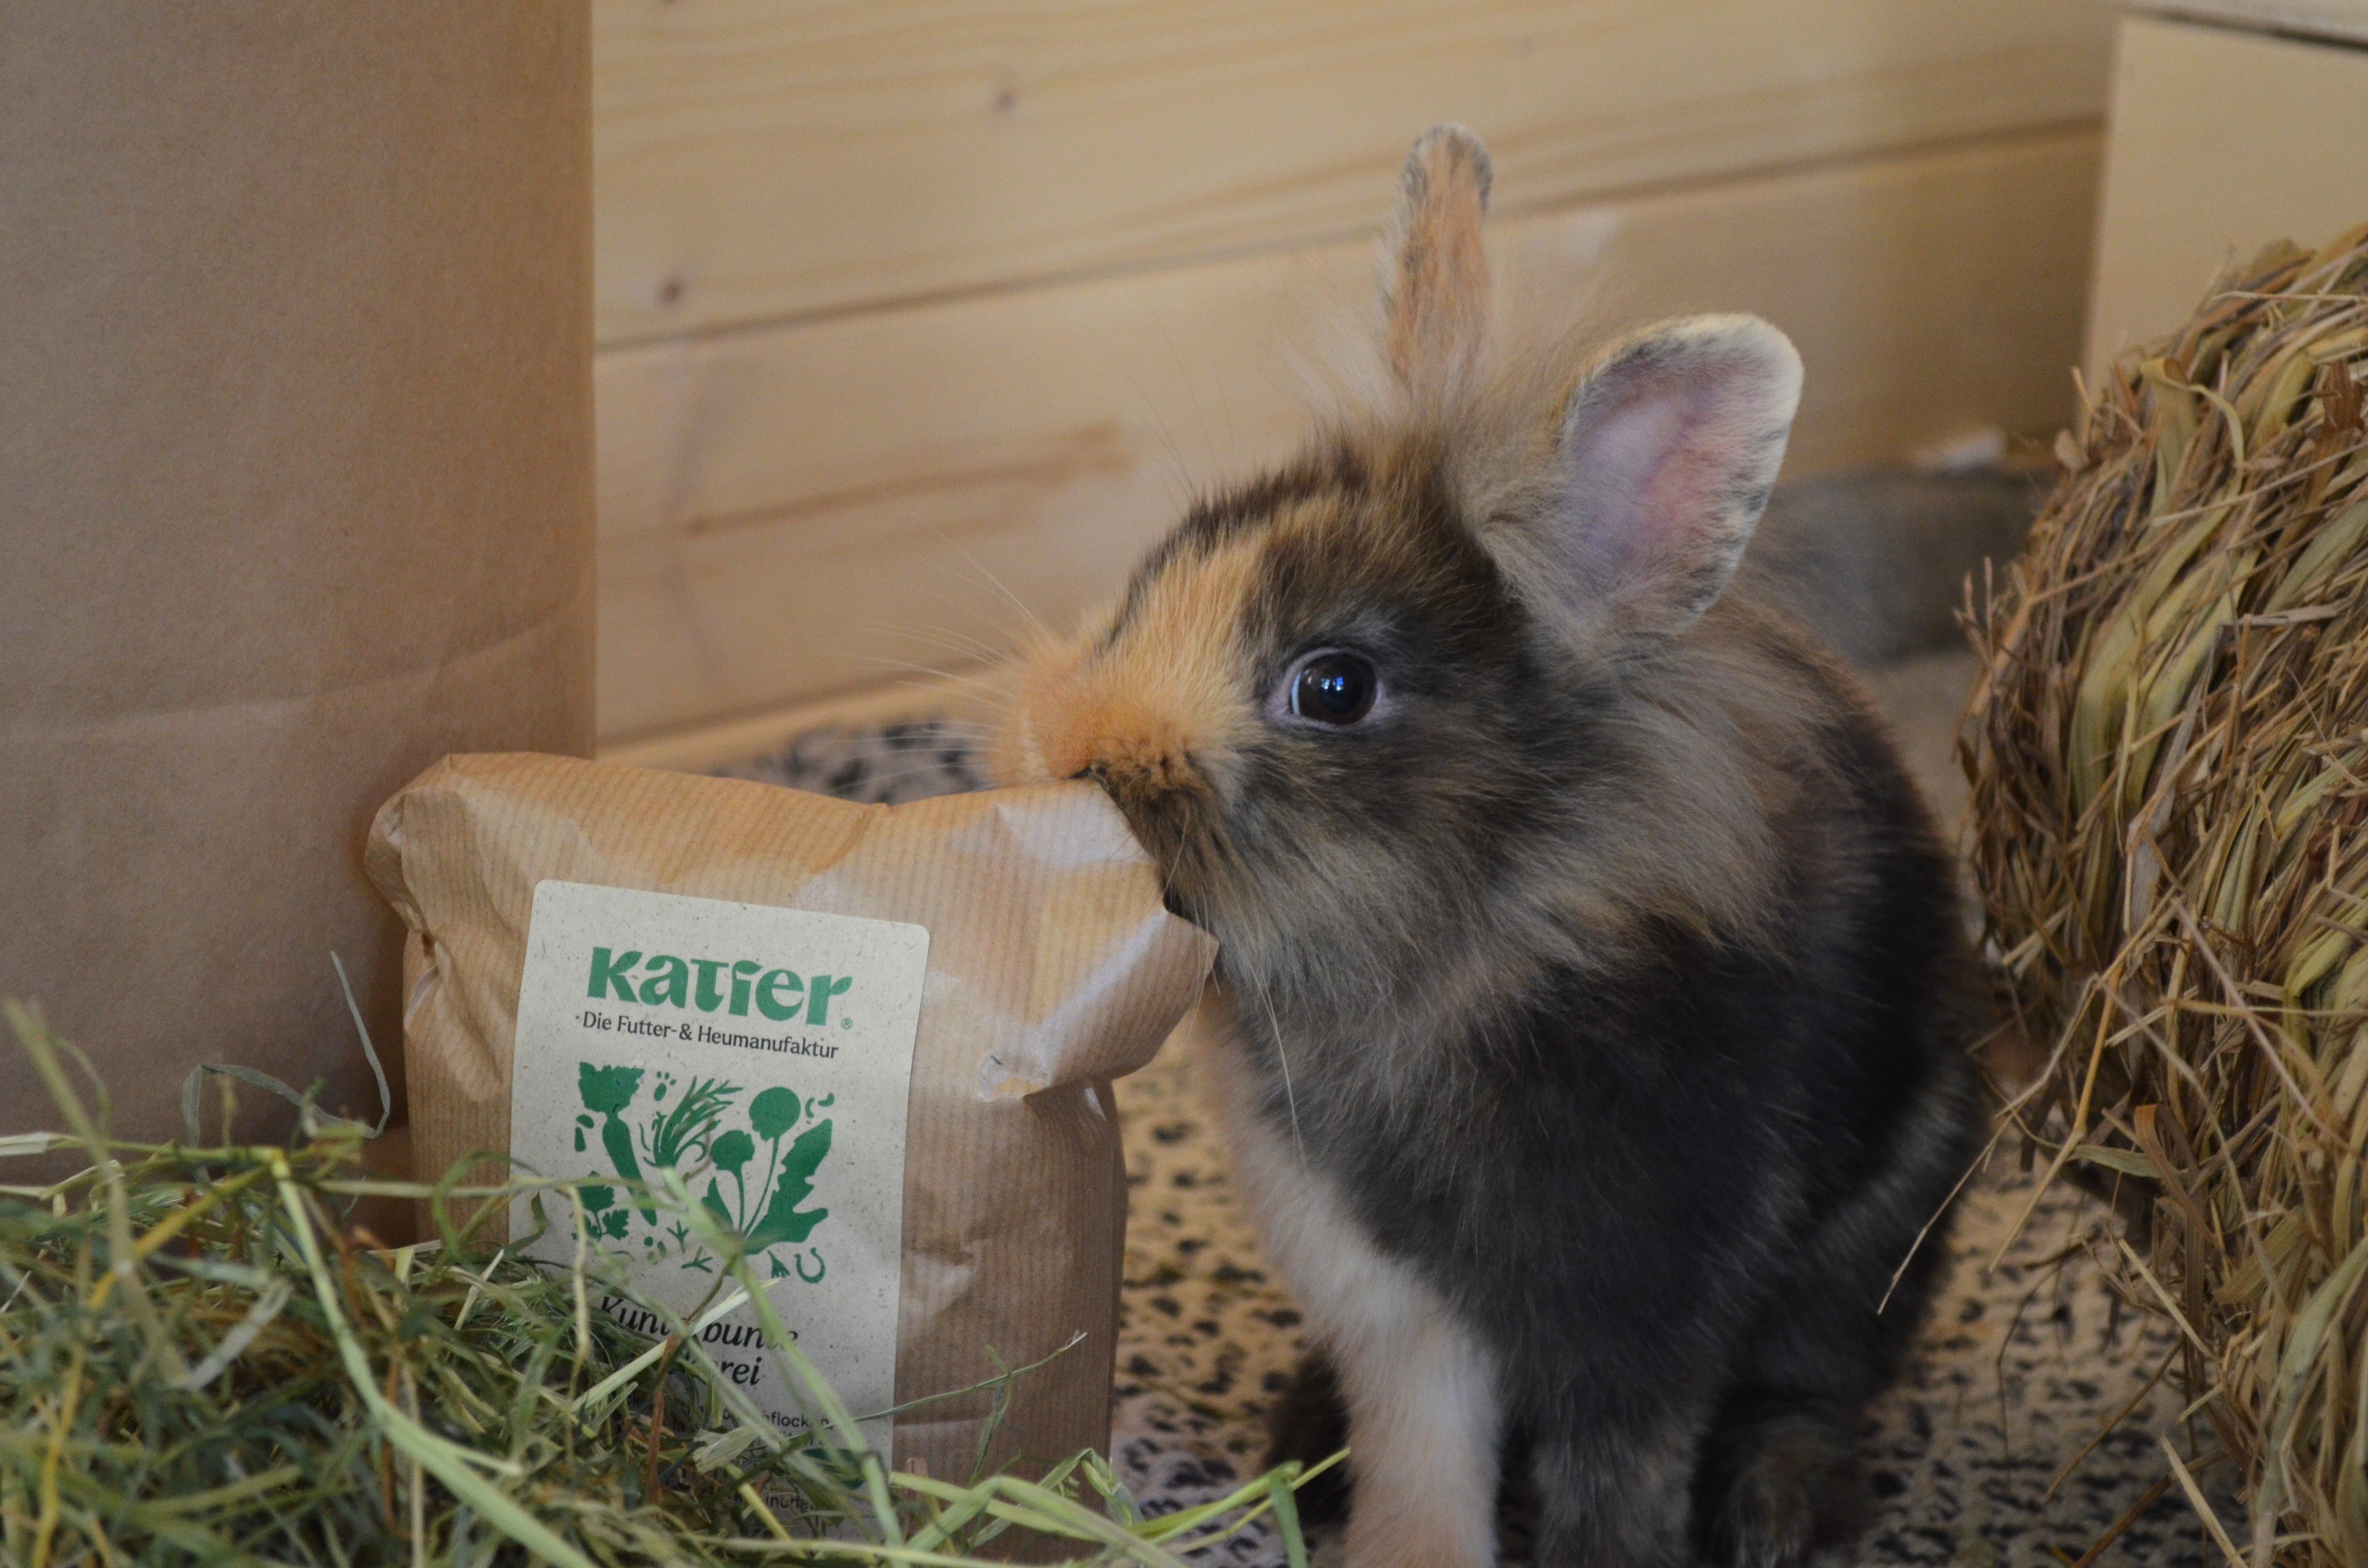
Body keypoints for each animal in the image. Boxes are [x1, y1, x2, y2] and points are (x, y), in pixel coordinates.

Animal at [988, 126, 1981, 1568]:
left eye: (1335, 688)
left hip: (1877, 1236)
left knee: (1816, 1380)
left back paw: (1782, 1510)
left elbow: (1619, 1471)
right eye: (1164, 563)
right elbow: (1425, 1455)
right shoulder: (1389, 1303)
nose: (1057, 747)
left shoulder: (1642, 1307)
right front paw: (1398, 1543)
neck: (1455, 956)